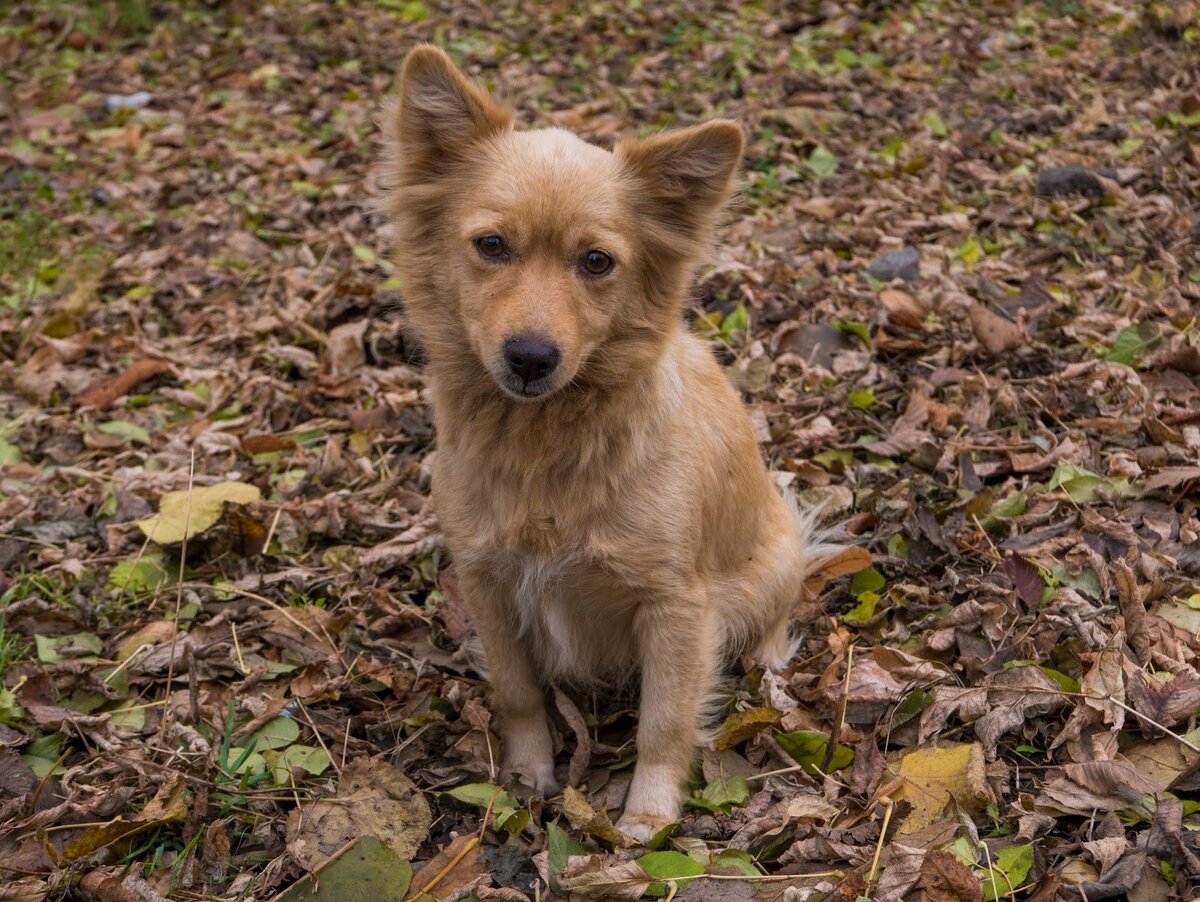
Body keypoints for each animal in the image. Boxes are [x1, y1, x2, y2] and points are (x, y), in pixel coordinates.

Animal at [381, 45, 835, 844]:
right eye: (491, 246)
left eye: (596, 262)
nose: (531, 357)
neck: (546, 447)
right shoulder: (487, 582)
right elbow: (518, 693)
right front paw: (528, 775)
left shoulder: (677, 608)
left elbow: (664, 722)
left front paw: (648, 817)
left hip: (769, 570)